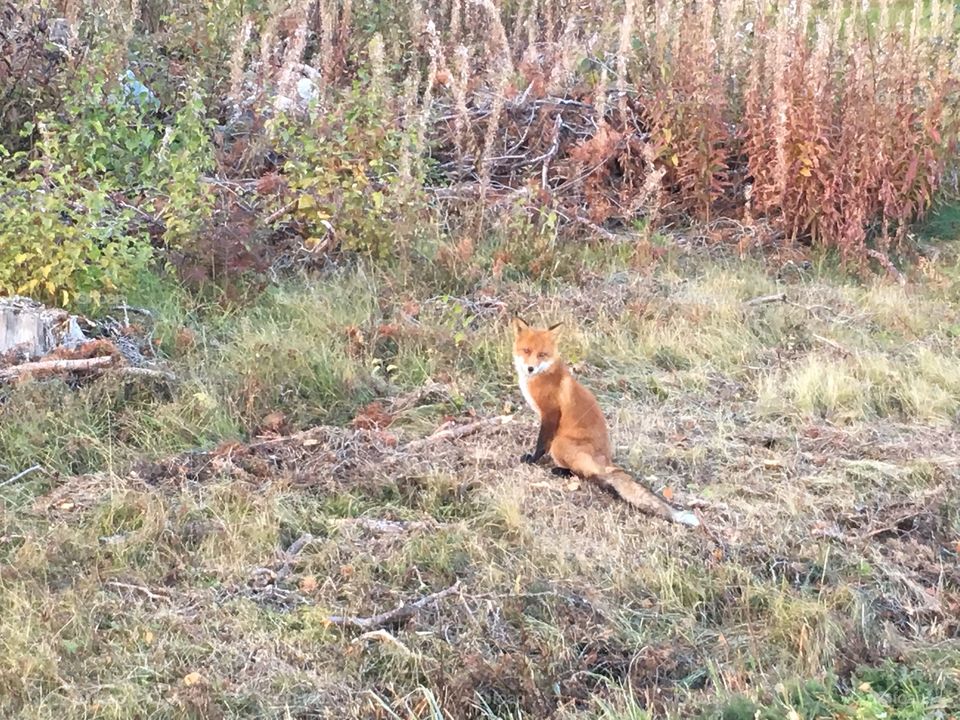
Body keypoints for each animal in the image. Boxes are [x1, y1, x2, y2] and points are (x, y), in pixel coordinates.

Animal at [511, 316, 700, 527]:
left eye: (542, 354)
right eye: (527, 351)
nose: (530, 368)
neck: (542, 374)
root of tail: (607, 461)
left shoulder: (551, 413)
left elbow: (542, 443)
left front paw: (533, 459)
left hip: (560, 444)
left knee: (587, 475)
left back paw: (562, 471)